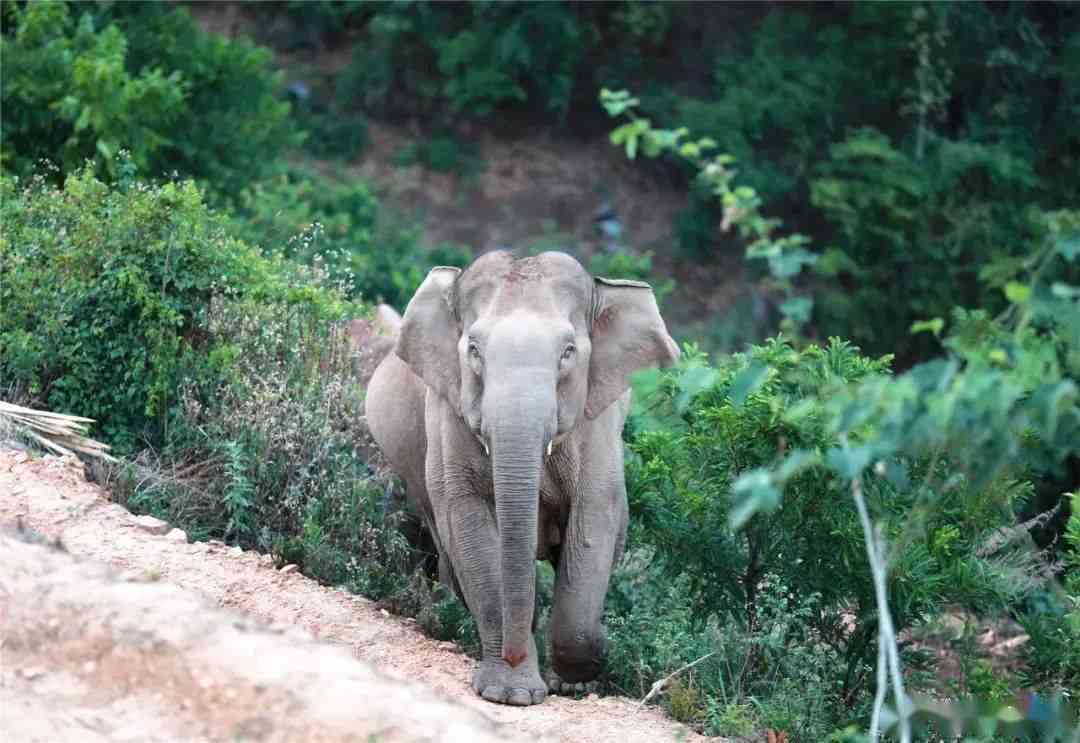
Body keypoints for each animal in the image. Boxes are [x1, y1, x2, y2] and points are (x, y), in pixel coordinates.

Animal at [367, 250, 678, 708]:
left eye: (568, 352)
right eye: (474, 351)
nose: (513, 657)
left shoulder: (597, 426)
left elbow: (592, 519)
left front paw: (580, 672)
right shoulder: (448, 414)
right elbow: (468, 521)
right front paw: (511, 695)